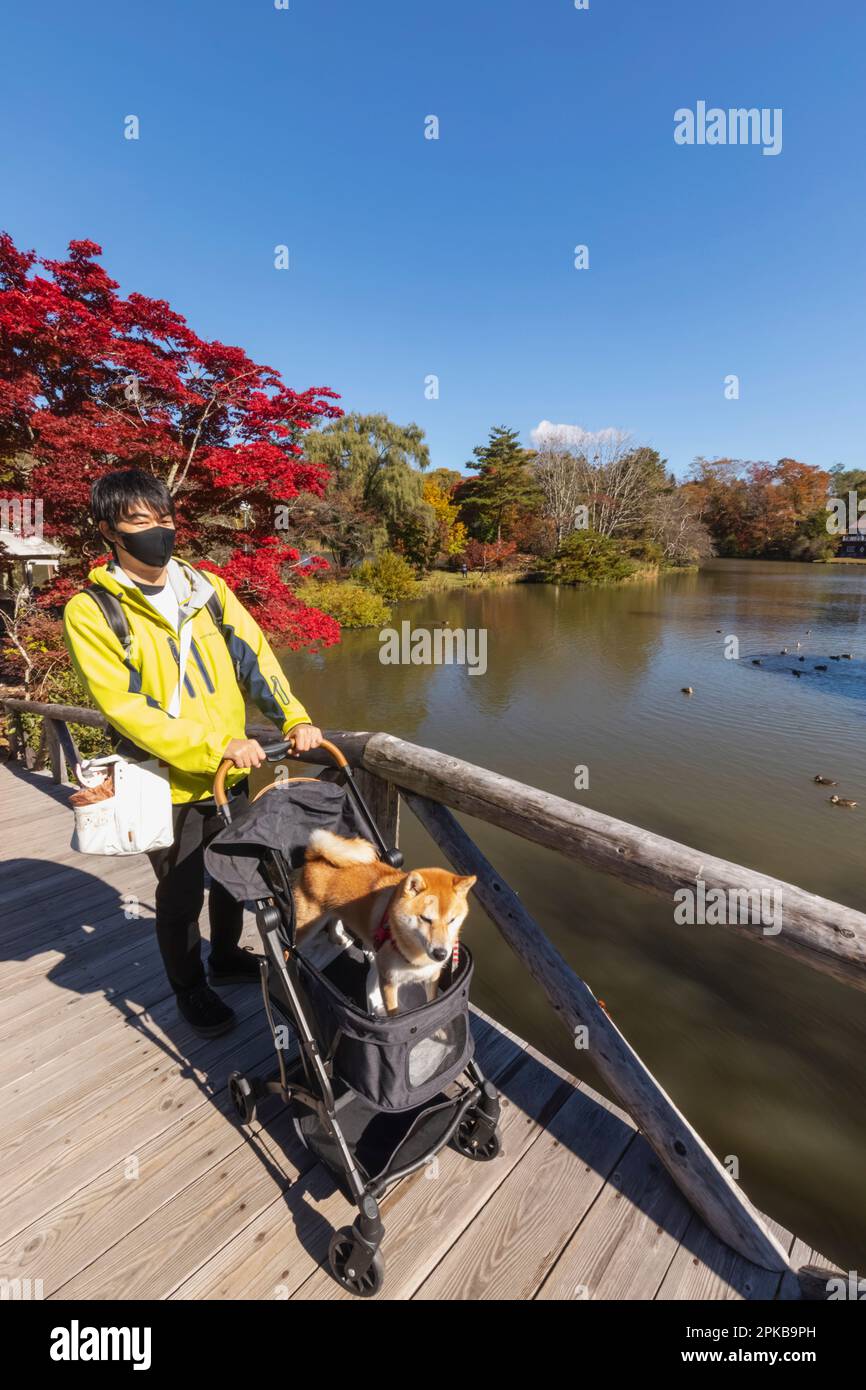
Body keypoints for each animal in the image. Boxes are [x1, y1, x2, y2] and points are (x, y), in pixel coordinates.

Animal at [294, 822, 478, 1011]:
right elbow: (393, 1012)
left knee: (333, 919)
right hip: (306, 927)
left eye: (452, 920)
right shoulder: (388, 981)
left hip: (333, 909)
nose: (441, 954)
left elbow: (431, 1000)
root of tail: (316, 858)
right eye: (426, 919)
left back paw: (335, 937)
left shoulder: (431, 978)